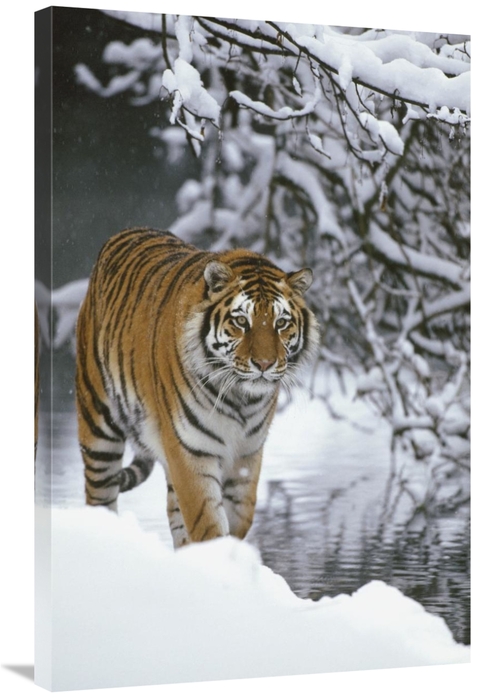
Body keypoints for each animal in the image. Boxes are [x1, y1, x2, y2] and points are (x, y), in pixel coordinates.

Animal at [75, 227, 319, 548]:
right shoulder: (190, 451)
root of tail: (124, 232)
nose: (264, 363)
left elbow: (239, 517)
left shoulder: (247, 454)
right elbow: (207, 523)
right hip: (98, 426)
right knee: (99, 497)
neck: (241, 399)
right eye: (241, 321)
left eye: (281, 323)